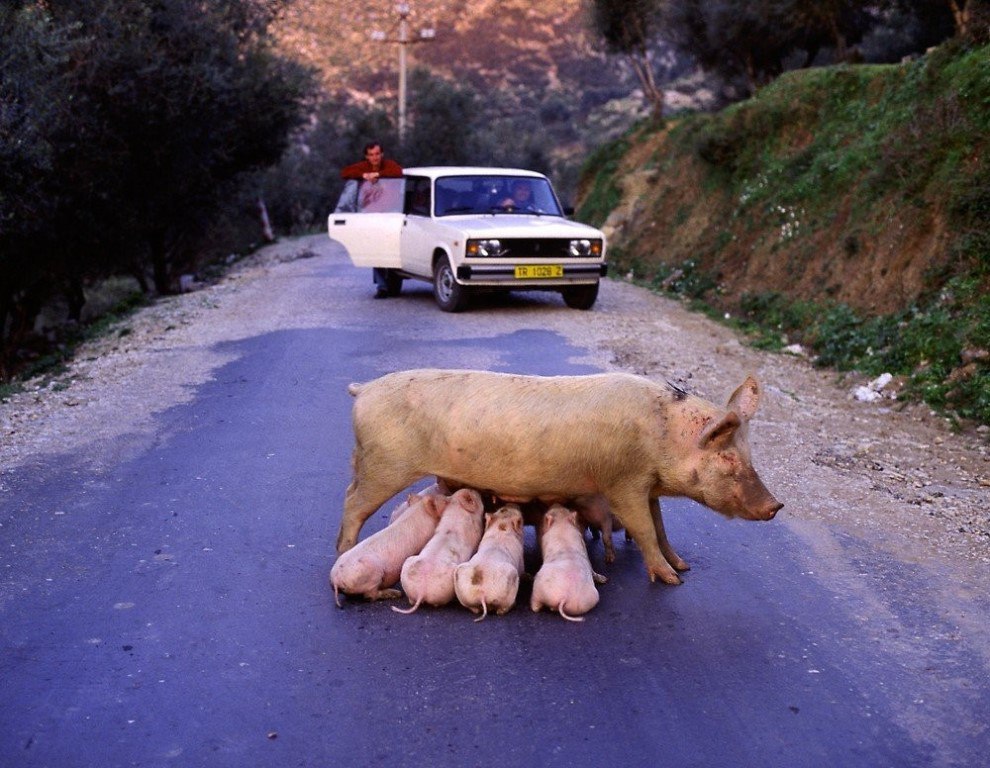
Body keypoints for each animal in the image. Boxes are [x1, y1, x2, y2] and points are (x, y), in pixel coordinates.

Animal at [340, 370, 784, 584]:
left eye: (750, 455)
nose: (776, 505)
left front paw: (684, 566)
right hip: (383, 464)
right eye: (728, 460)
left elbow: (660, 526)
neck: (661, 436)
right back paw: (343, 551)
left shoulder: (648, 486)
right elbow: (642, 528)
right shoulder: (621, 482)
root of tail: (363, 389)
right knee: (351, 502)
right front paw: (672, 580)